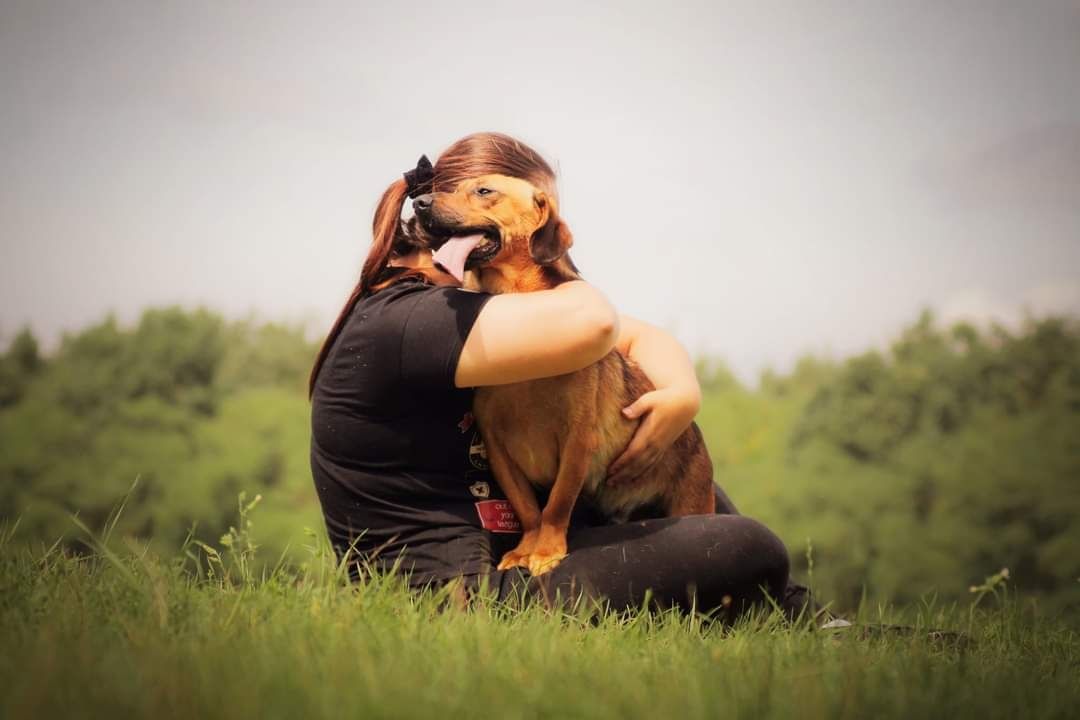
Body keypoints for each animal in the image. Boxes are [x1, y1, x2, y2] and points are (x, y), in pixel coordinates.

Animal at [412, 175, 717, 574]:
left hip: (691, 503)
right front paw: (525, 550)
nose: (419, 203)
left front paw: (546, 552)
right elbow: (528, 509)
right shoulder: (497, 447)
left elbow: (557, 505)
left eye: (484, 191)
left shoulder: (577, 440)